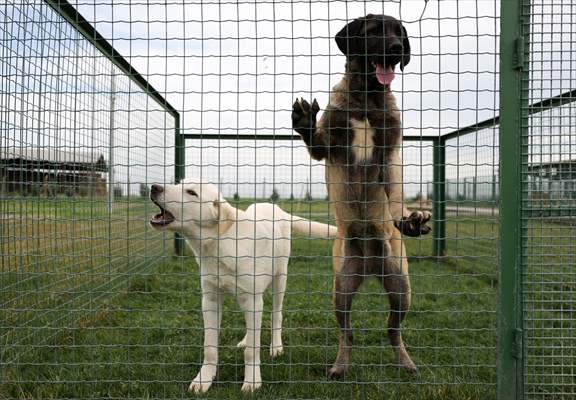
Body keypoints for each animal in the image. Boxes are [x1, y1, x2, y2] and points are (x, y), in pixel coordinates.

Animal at [148, 179, 338, 394]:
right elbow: (210, 347)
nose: (154, 187)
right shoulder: (210, 300)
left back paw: (276, 347)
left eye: (191, 192)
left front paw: (252, 381)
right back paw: (247, 339)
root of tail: (275, 208)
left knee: (276, 314)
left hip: (280, 279)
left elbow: (252, 351)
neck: (218, 244)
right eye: (179, 183)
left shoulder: (252, 299)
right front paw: (204, 380)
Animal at [292, 14, 432, 378]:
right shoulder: (327, 147)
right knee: (348, 332)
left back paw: (405, 361)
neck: (368, 98)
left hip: (400, 286)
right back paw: (341, 364)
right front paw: (304, 120)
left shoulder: (389, 155)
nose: (396, 49)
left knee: (393, 330)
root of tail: (369, 266)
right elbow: (316, 138)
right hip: (341, 288)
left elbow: (395, 192)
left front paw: (411, 219)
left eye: (399, 33)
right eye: (374, 32)